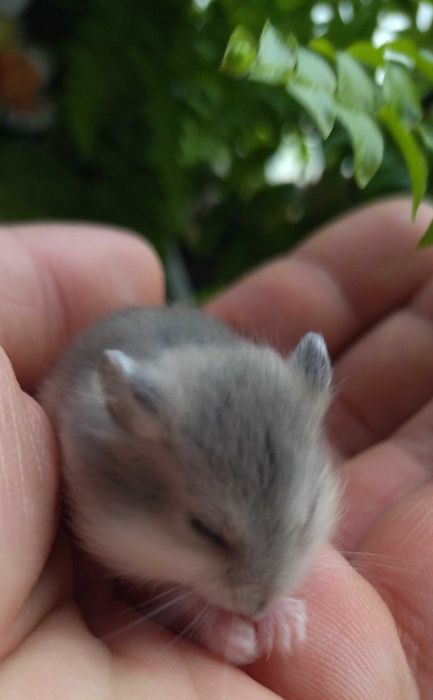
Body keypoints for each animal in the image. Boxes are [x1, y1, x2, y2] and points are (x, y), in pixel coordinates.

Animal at [39, 306, 339, 664]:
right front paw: (240, 642)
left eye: (308, 516)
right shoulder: (124, 554)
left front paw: (287, 633)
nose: (255, 611)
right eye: (204, 528)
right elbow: (181, 596)